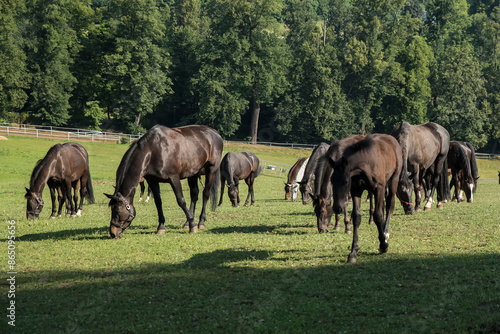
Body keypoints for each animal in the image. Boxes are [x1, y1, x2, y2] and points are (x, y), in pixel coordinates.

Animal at [332, 134, 402, 264]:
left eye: (346, 181)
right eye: (331, 180)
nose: (337, 208)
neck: (366, 164)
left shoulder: (379, 188)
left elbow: (378, 216)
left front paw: (383, 245)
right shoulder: (356, 190)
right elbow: (357, 217)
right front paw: (353, 252)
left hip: (393, 180)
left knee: (389, 206)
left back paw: (385, 233)